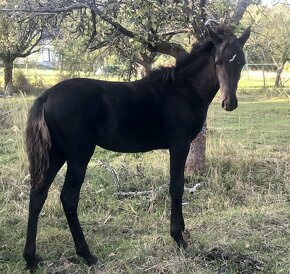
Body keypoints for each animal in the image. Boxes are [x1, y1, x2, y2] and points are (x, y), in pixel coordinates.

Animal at [23, 24, 249, 268]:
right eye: (218, 61)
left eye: (241, 62)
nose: (229, 103)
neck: (184, 90)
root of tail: (46, 96)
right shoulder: (179, 145)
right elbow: (177, 186)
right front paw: (178, 237)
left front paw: (183, 230)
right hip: (78, 156)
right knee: (68, 198)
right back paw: (86, 254)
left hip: (56, 154)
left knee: (38, 194)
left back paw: (31, 258)